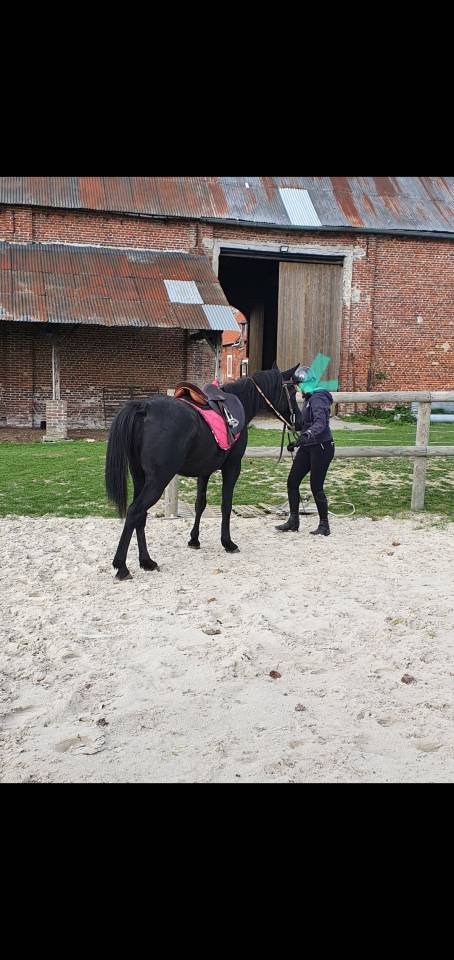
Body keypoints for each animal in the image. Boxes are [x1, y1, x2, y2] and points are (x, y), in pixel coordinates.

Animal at [105, 364, 303, 580]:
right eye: (291, 390)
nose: (300, 421)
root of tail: (144, 408)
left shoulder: (204, 471)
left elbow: (200, 504)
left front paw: (194, 540)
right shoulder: (232, 467)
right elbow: (226, 504)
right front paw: (227, 542)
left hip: (139, 477)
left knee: (140, 516)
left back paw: (146, 561)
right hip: (158, 480)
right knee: (134, 511)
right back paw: (121, 566)